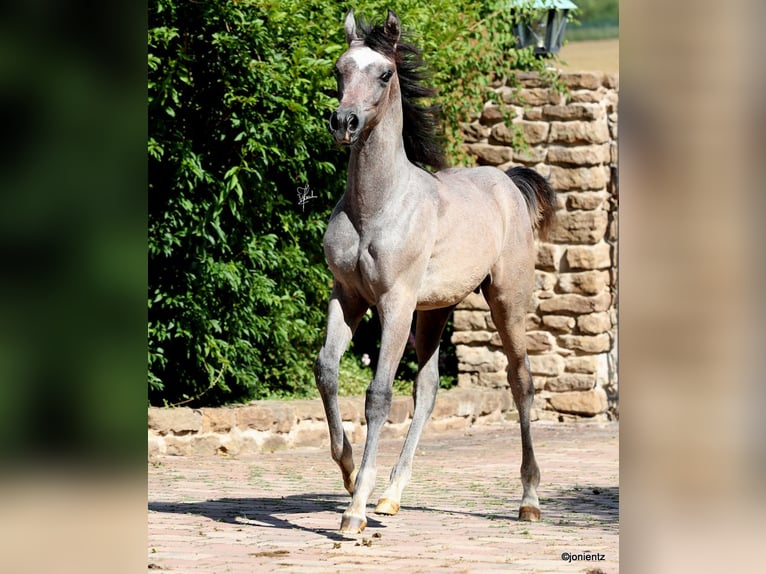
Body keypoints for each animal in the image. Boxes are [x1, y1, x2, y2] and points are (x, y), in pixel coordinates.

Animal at [316, 9, 556, 536]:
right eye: (340, 69)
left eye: (385, 74)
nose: (344, 122)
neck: (375, 206)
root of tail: (507, 180)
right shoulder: (348, 296)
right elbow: (327, 371)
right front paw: (348, 472)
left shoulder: (395, 303)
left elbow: (378, 395)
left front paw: (354, 511)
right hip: (436, 310)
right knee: (427, 391)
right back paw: (391, 496)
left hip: (506, 300)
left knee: (522, 381)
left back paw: (529, 499)